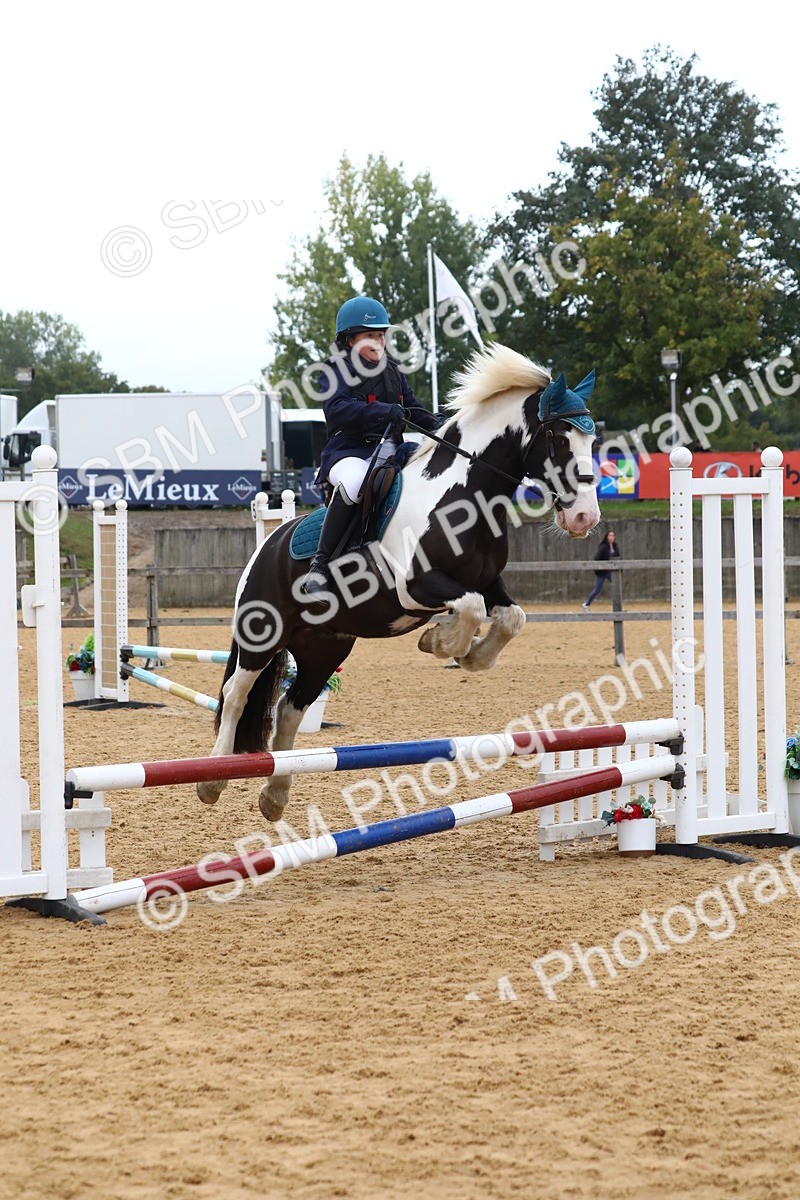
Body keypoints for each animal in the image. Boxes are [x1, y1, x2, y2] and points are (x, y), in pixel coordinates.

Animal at [197, 343, 601, 821]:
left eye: (592, 440)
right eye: (558, 437)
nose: (585, 517)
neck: (461, 495)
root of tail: (269, 543)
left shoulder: (488, 582)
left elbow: (510, 617)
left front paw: (469, 655)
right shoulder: (416, 585)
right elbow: (470, 609)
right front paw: (441, 642)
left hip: (323, 647)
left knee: (290, 707)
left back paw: (275, 796)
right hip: (263, 635)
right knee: (236, 694)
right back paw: (213, 779)